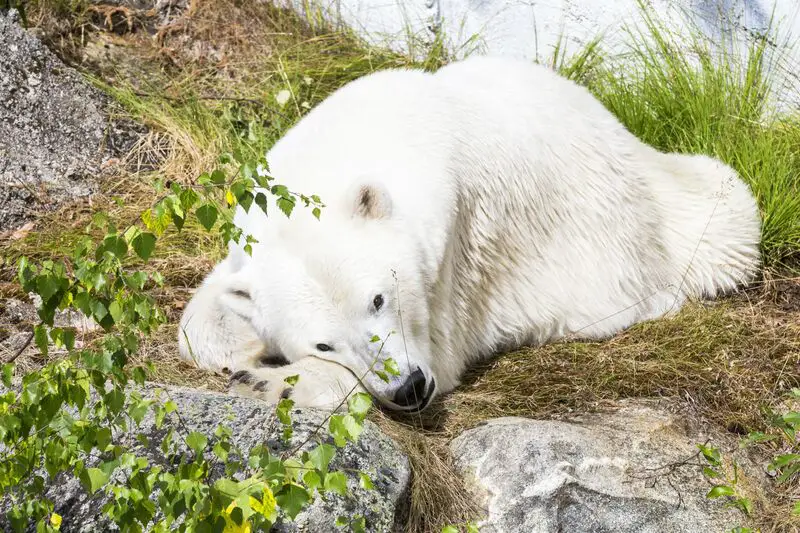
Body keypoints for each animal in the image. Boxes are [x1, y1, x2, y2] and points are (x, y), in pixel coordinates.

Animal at [177, 55, 764, 412]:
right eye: (322, 340)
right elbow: (205, 313)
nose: (409, 388)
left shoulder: (453, 246)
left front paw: (273, 381)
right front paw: (243, 350)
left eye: (378, 298)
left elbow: (442, 350)